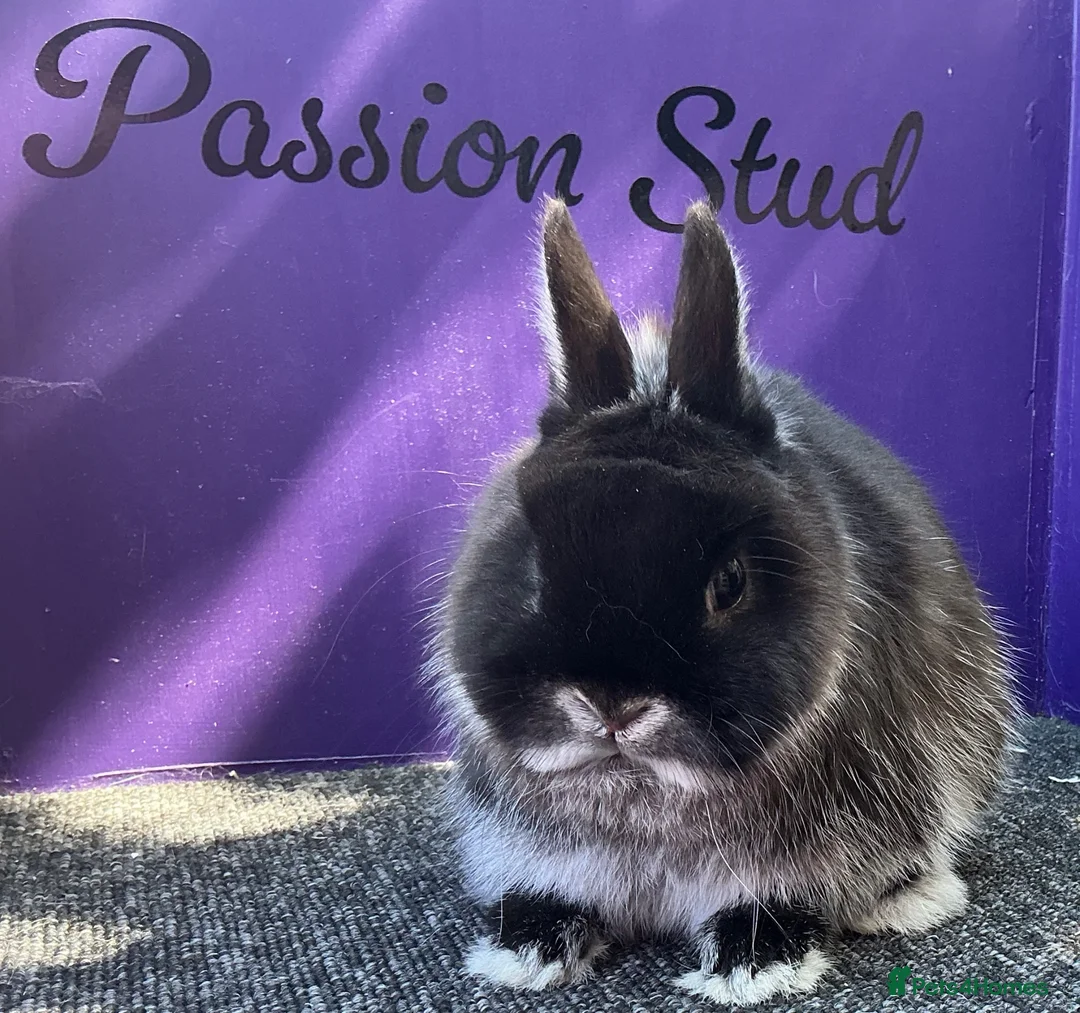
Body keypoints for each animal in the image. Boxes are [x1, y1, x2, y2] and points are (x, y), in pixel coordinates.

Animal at [426, 196, 1017, 1005]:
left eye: (729, 583)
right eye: (534, 565)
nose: (612, 706)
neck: (643, 794)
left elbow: (781, 901)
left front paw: (751, 965)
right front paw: (527, 946)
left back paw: (913, 899)